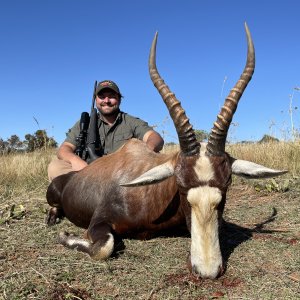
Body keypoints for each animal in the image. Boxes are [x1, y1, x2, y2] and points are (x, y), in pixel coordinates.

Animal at [46, 23, 286, 278]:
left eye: (227, 184)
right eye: (180, 185)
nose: (207, 271)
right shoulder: (99, 221)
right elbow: (104, 247)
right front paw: (64, 235)